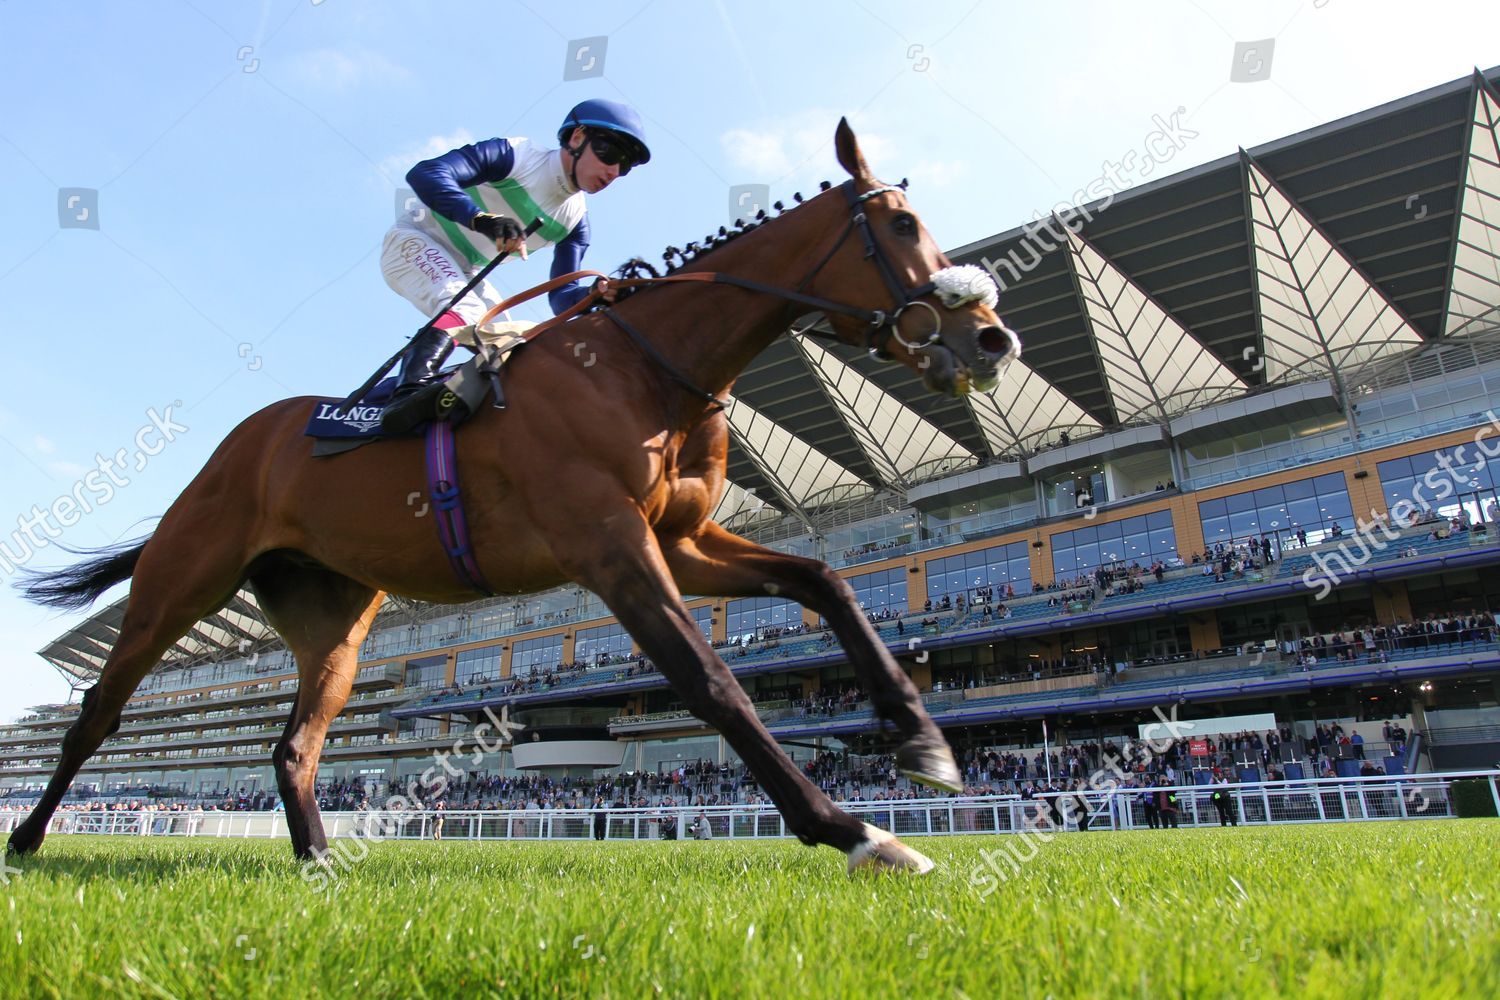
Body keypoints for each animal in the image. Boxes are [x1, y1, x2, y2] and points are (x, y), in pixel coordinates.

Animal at [8, 122, 1020, 875]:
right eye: (901, 226)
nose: (991, 338)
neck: (646, 370)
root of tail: (239, 445)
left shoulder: (682, 540)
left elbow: (828, 581)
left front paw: (921, 744)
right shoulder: (612, 547)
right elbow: (711, 679)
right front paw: (853, 829)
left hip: (334, 623)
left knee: (293, 745)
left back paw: (319, 858)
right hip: (181, 583)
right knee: (98, 713)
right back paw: (26, 839)